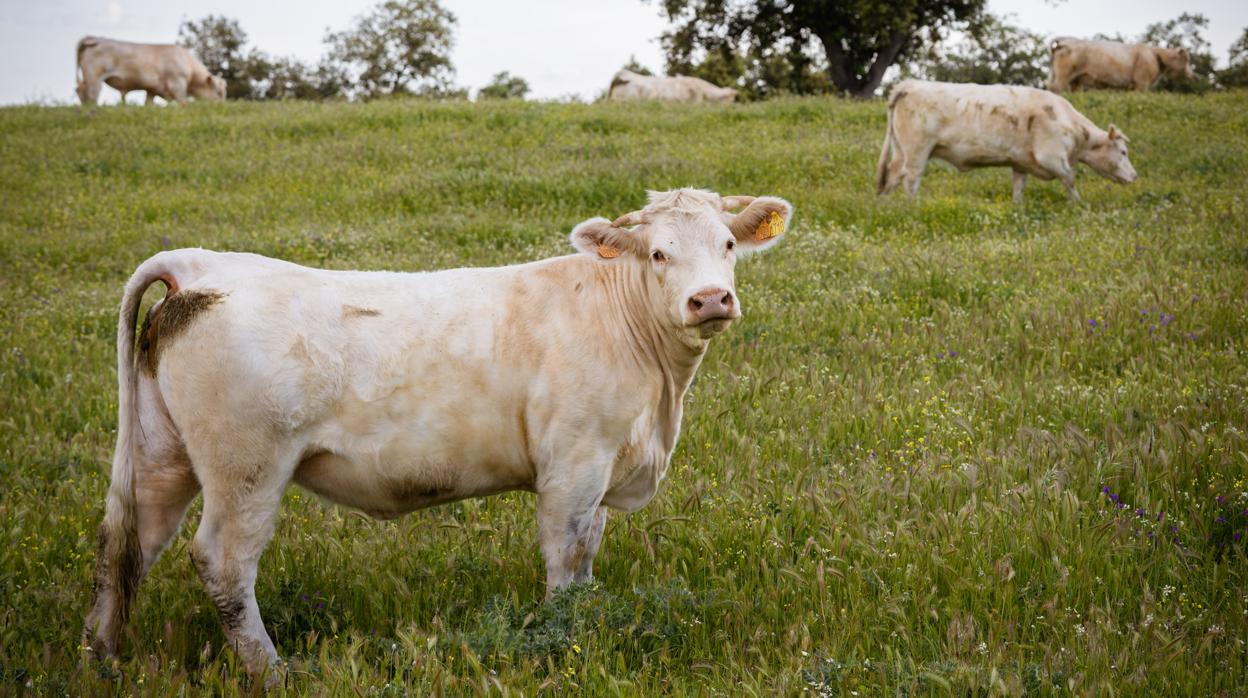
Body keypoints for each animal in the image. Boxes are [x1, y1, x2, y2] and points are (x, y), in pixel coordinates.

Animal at [76, 36, 227, 107]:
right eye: (218, 92)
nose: (222, 106)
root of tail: (93, 38)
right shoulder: (177, 83)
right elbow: (183, 102)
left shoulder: (152, 90)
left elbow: (148, 103)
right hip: (94, 76)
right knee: (92, 93)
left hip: (87, 77)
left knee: (80, 90)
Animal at [82, 188, 793, 684]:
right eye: (659, 252)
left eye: (728, 246)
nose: (710, 300)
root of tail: (201, 266)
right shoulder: (574, 465)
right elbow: (565, 559)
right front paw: (564, 640)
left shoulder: (604, 469)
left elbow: (588, 555)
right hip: (248, 467)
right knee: (224, 563)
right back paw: (272, 672)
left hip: (162, 455)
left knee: (127, 544)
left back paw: (103, 658)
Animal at [878, 78, 1143, 201]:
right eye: (1123, 152)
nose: (1134, 175)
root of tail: (908, 85)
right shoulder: (1051, 157)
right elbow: (1070, 179)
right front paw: (1078, 204)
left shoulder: (1021, 163)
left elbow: (1018, 189)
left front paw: (1018, 209)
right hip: (917, 151)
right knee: (911, 179)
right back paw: (913, 205)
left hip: (901, 151)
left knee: (891, 176)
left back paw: (886, 206)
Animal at [1048, 37, 1193, 92]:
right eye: (1186, 59)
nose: (1192, 75)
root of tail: (1064, 41)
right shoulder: (1141, 83)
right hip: (1062, 77)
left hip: (1075, 81)